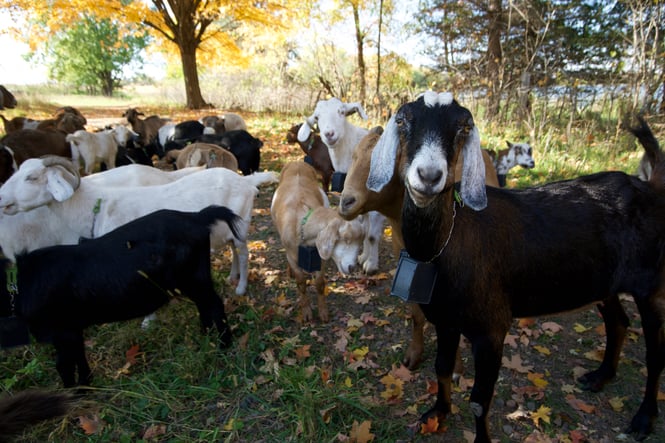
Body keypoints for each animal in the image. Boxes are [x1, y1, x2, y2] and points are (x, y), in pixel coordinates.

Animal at [0, 206, 241, 388]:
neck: (20, 282)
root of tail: (197, 216)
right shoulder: (73, 329)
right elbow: (79, 355)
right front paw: (86, 385)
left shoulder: (61, 330)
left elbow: (64, 364)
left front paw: (73, 394)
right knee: (205, 305)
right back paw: (206, 336)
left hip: (193, 277)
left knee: (214, 304)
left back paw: (223, 344)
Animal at [270, 162, 364, 322]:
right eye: (345, 238)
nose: (352, 267)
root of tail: (297, 162)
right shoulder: (293, 255)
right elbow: (301, 282)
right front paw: (307, 312)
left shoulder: (320, 255)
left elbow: (320, 283)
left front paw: (323, 313)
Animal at [296, 98, 384, 274]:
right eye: (317, 117)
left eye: (342, 112)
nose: (329, 134)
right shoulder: (357, 202)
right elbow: (365, 229)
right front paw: (363, 257)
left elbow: (372, 235)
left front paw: (371, 265)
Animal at [366, 91, 664, 443]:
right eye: (402, 120)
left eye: (464, 126)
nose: (428, 176)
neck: (449, 243)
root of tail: (651, 189)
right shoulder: (446, 321)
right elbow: (442, 368)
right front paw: (438, 413)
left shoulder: (492, 329)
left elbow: (480, 400)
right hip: (604, 284)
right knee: (618, 322)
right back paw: (599, 377)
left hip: (651, 286)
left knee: (655, 354)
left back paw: (643, 419)